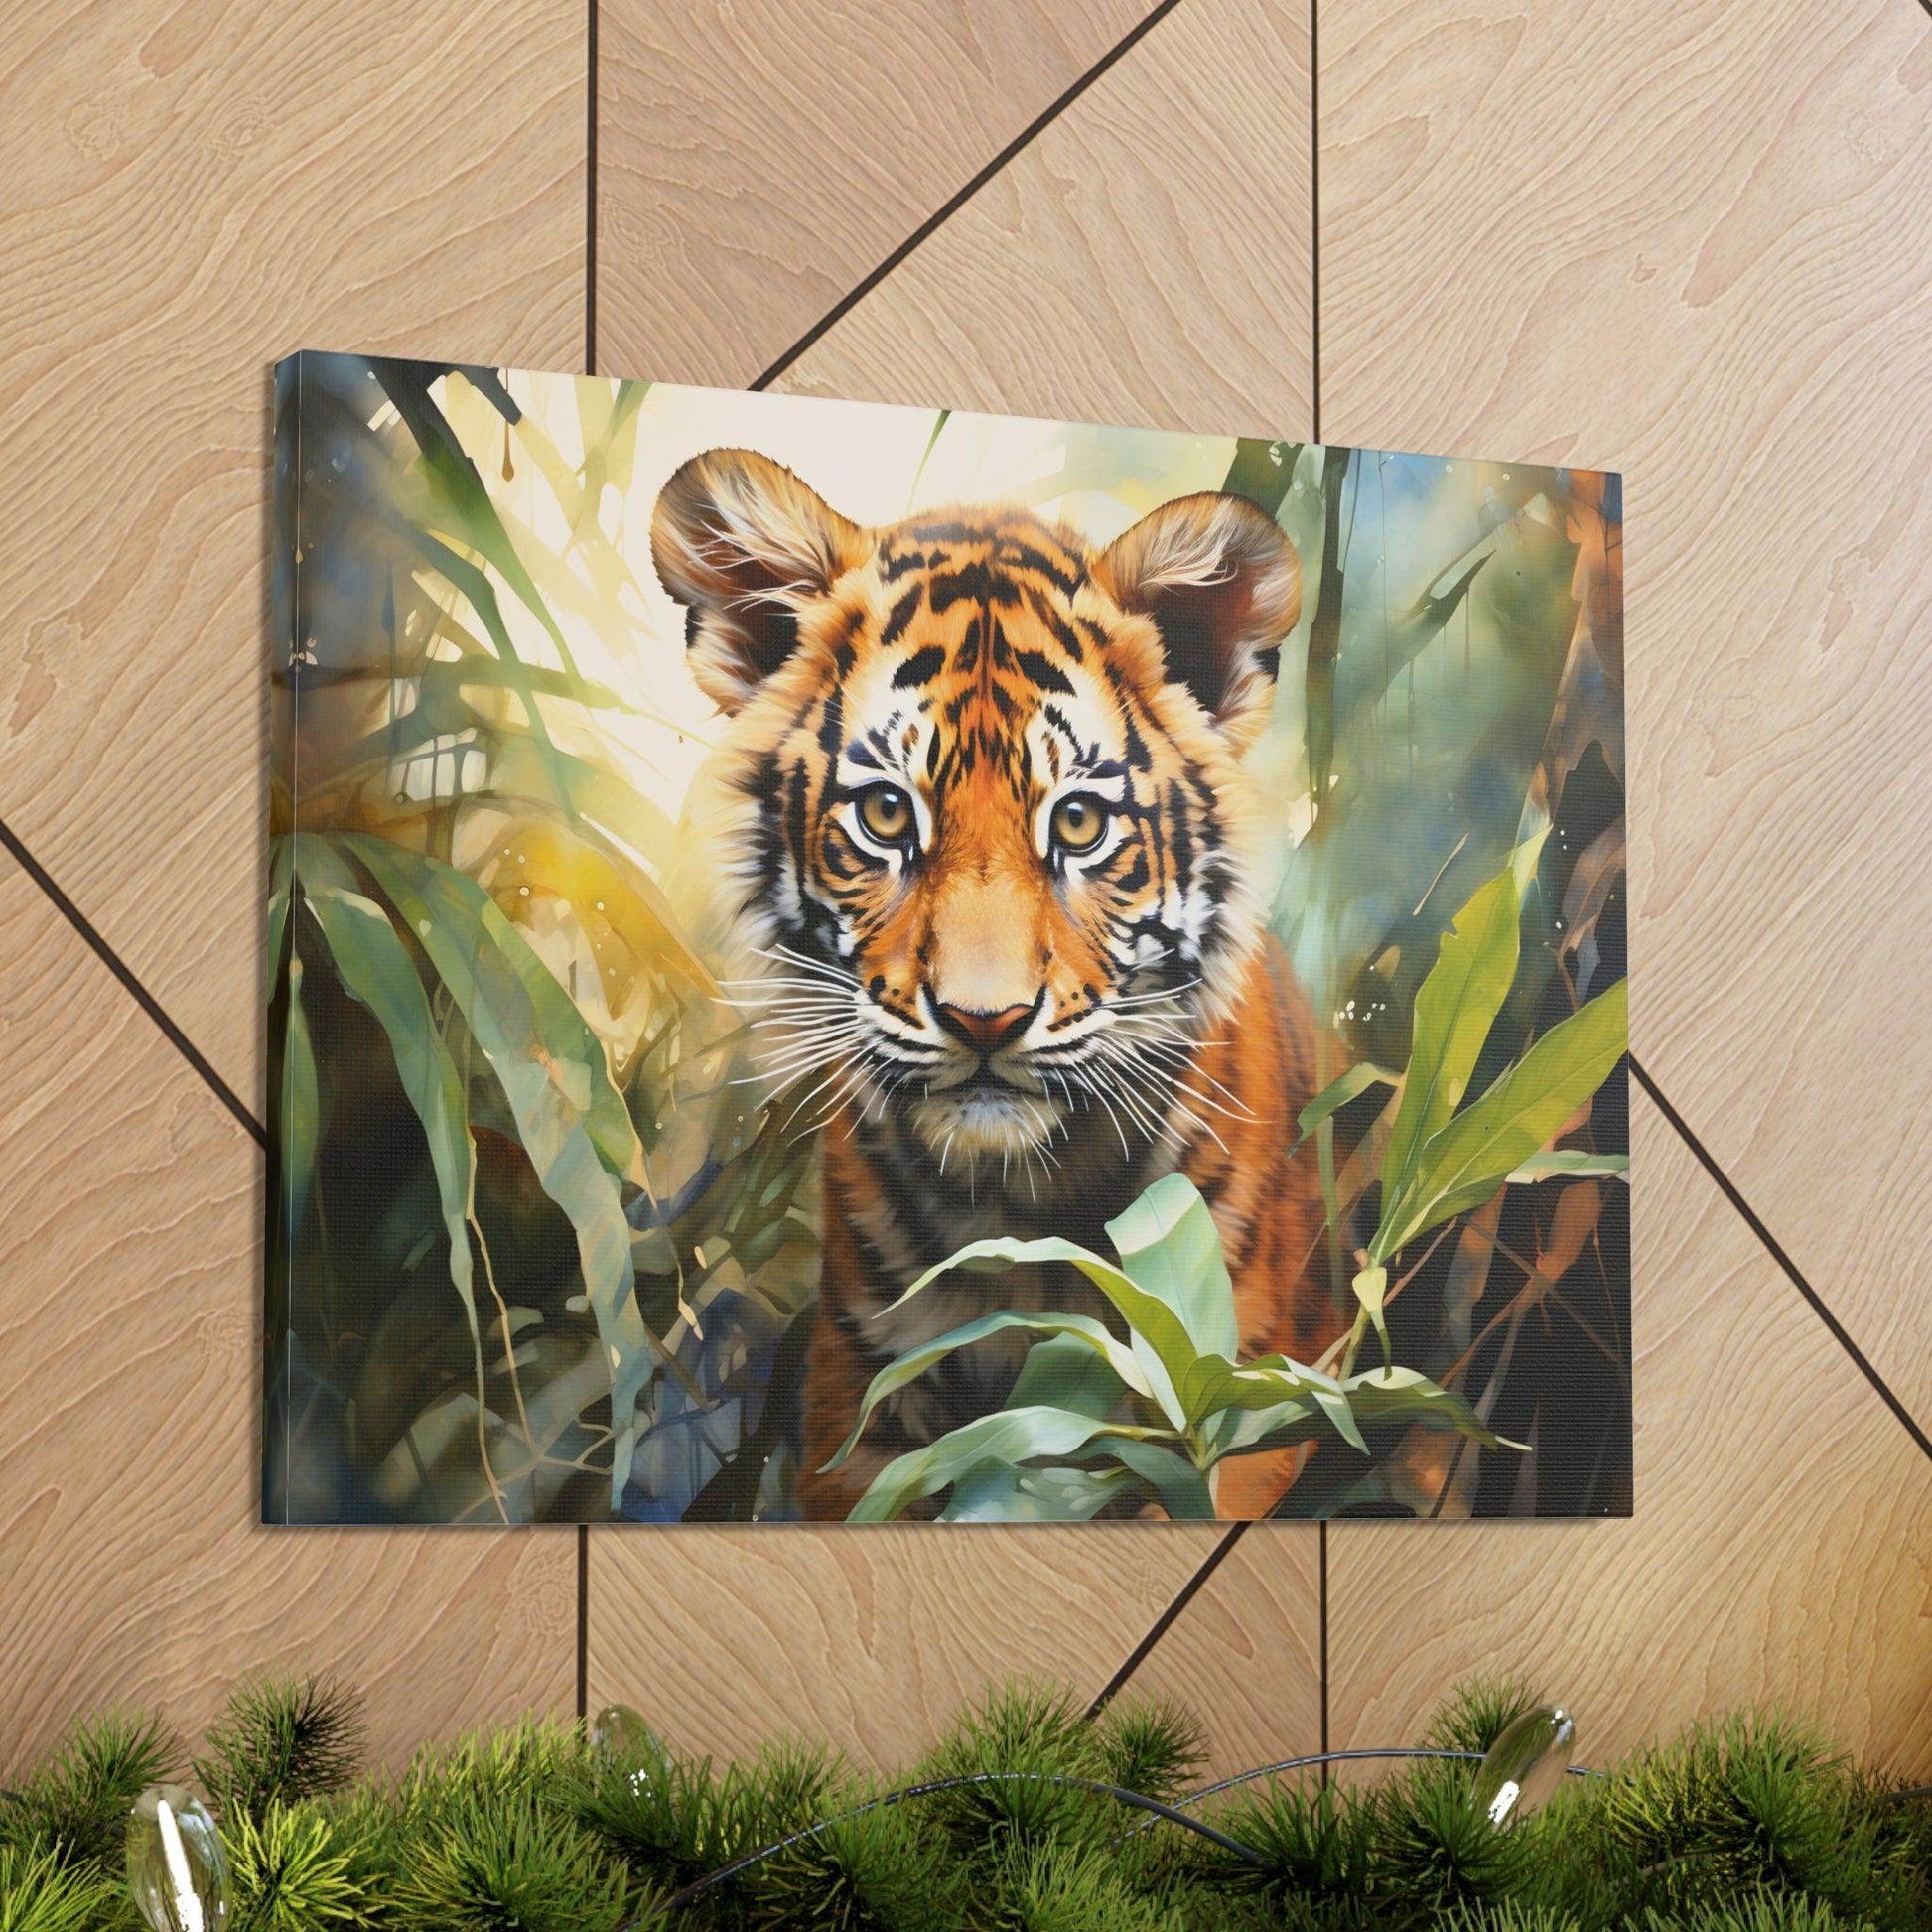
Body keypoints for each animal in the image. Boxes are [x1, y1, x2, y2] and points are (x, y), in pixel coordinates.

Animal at [651, 446, 1343, 1520]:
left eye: (1078, 823)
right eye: (887, 814)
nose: (986, 1021)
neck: (1022, 1209)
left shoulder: (1249, 1404)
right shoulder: (858, 1407)